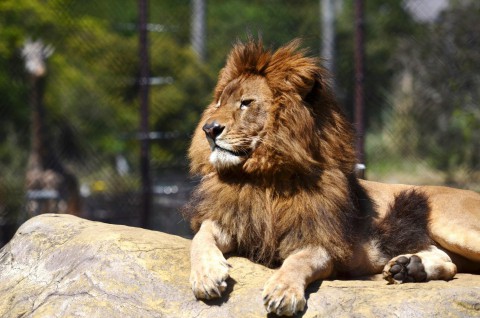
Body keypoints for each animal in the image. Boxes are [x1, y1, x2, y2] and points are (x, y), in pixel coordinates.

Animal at [185, 39, 480, 316]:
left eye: (246, 103)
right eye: (219, 103)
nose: (209, 129)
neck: (266, 178)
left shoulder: (321, 240)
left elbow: (298, 261)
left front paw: (283, 291)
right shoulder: (233, 220)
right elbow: (201, 236)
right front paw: (207, 275)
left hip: (451, 226)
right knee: (449, 263)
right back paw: (408, 267)